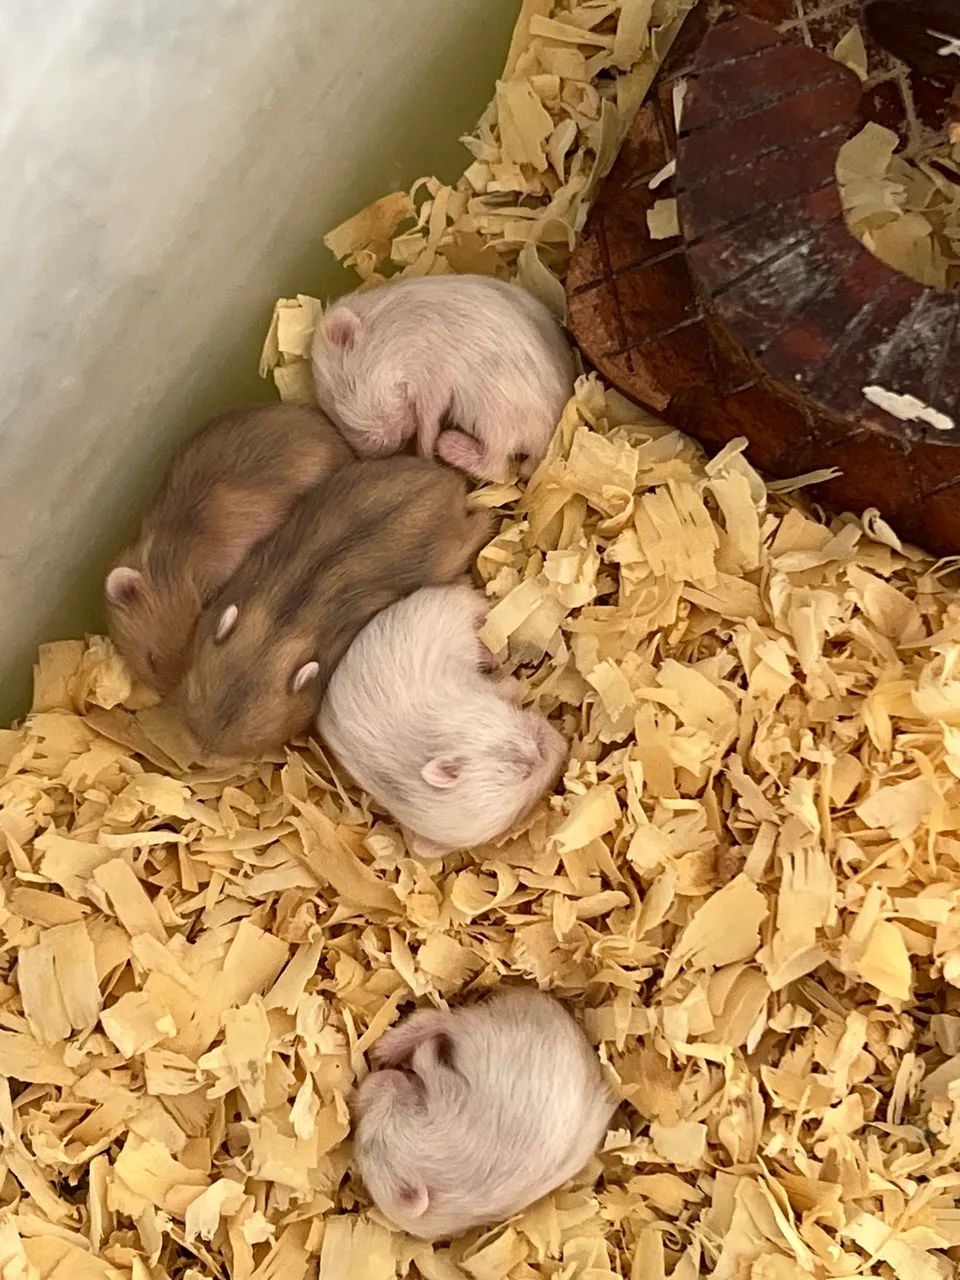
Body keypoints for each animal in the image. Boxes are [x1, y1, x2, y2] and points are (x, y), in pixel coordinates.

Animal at [310, 274, 576, 483]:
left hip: (496, 416)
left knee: (497, 467)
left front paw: (425, 453)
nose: (384, 451)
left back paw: (448, 444)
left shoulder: (433, 378)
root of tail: (550, 441)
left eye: (346, 388)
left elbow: (428, 420)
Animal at [317, 583, 566, 857]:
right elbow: (506, 687)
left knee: (484, 615)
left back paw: (498, 652)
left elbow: (504, 687)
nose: (563, 744)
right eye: (521, 809)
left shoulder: (472, 685)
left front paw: (516, 684)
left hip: (461, 609)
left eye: (518, 760)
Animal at [352, 986, 616, 1240]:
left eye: (368, 1146)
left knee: (440, 1020)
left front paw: (415, 1055)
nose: (364, 1087)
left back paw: (386, 1048)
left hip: (477, 1034)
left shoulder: (446, 1105)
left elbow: (428, 1064)